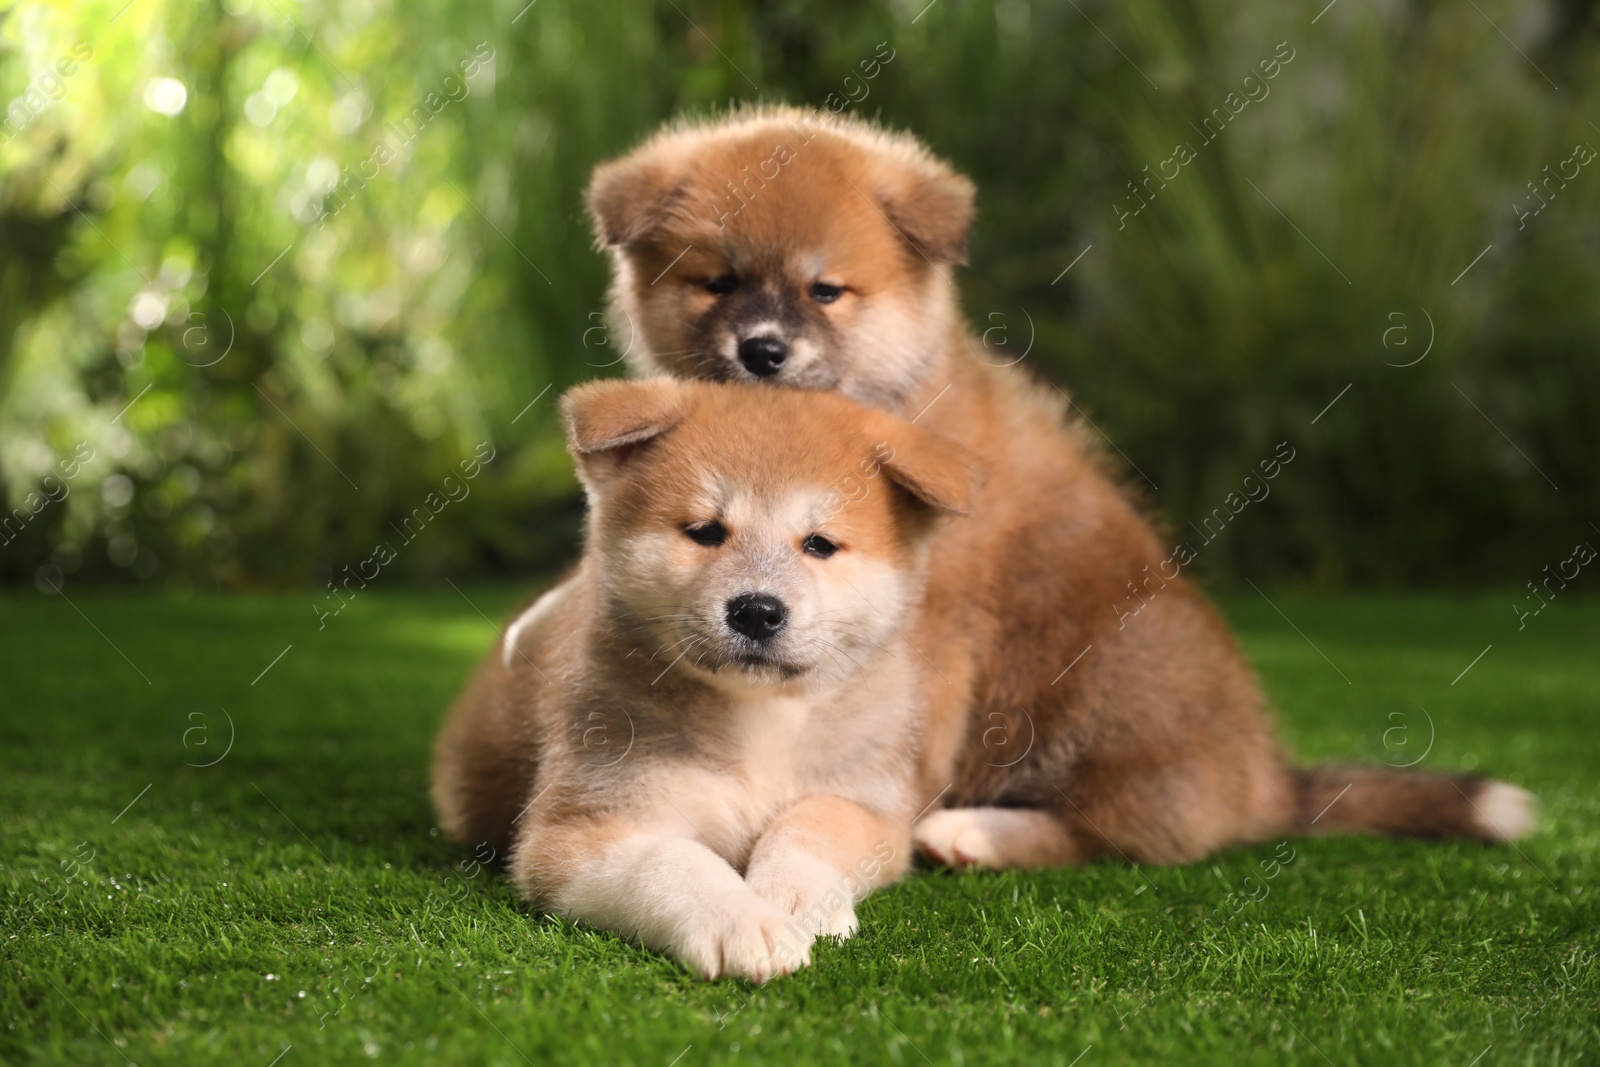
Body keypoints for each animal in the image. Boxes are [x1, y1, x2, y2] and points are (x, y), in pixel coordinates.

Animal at [438, 379, 979, 979]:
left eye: (819, 544)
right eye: (705, 533)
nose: (757, 611)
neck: (758, 721)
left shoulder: (867, 804)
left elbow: (811, 826)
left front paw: (796, 895)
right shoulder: (585, 822)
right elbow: (671, 861)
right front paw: (740, 918)